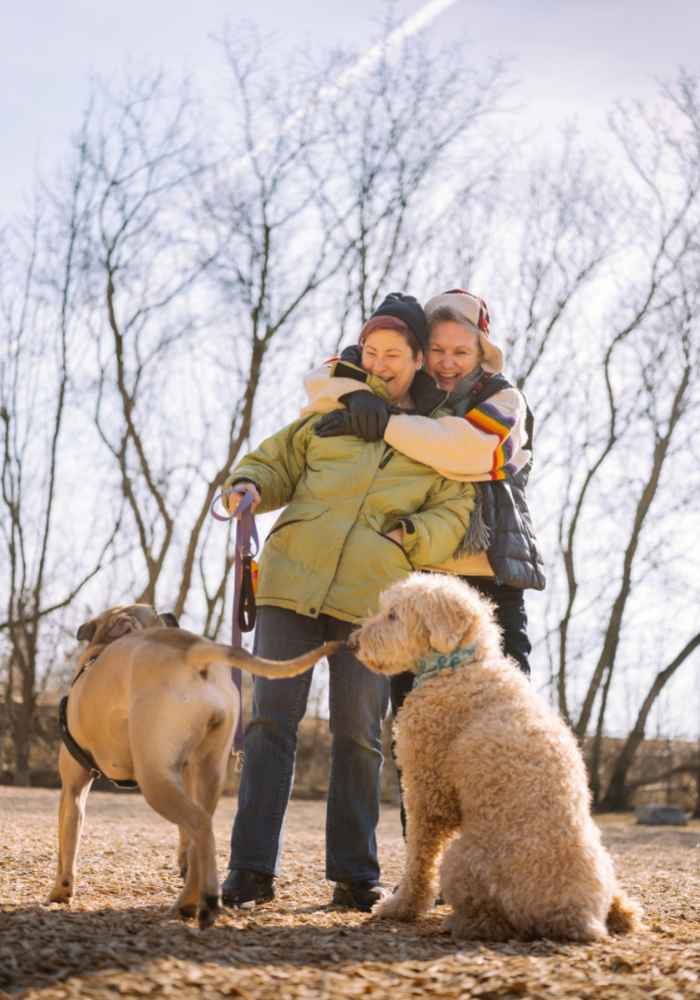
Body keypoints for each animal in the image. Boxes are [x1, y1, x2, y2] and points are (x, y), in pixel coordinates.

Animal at [46, 600, 336, 928]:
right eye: (155, 612)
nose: (171, 613)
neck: (99, 649)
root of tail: (193, 651)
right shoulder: (183, 775)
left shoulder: (72, 790)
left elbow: (66, 847)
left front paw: (60, 891)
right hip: (206, 772)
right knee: (201, 833)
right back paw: (188, 902)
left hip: (154, 779)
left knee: (199, 826)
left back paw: (205, 903)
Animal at [350, 576, 640, 940]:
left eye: (392, 615)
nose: (352, 642)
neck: (459, 665)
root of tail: (576, 916)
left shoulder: (429, 794)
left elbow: (418, 860)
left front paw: (401, 907)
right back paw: (622, 911)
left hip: (462, 859)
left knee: (489, 921)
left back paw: (459, 921)